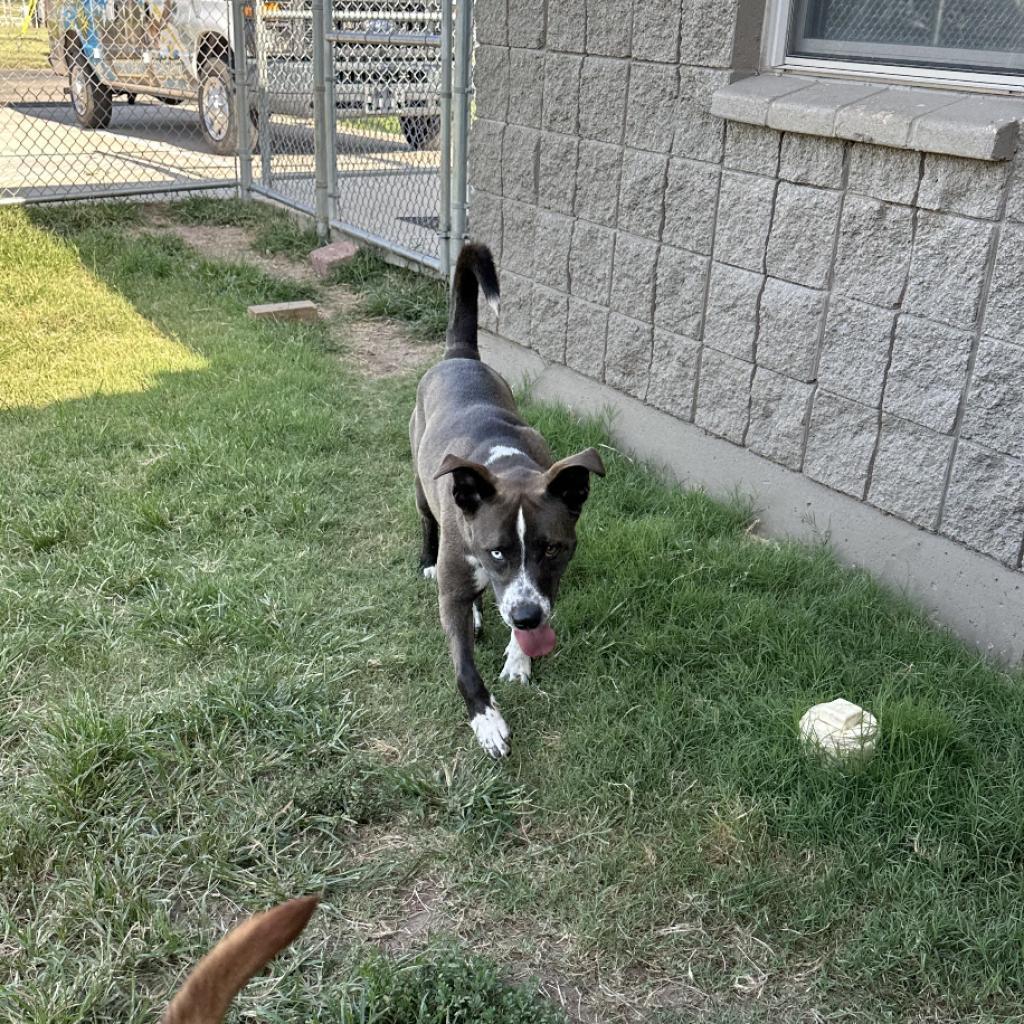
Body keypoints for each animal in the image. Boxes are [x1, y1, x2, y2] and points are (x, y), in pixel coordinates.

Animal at [407, 237, 598, 753]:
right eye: (497, 551)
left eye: (553, 549)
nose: (529, 617)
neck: (507, 465)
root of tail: (459, 356)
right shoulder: (459, 579)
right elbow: (463, 665)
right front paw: (486, 720)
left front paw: (518, 660)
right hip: (419, 483)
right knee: (428, 522)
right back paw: (432, 566)